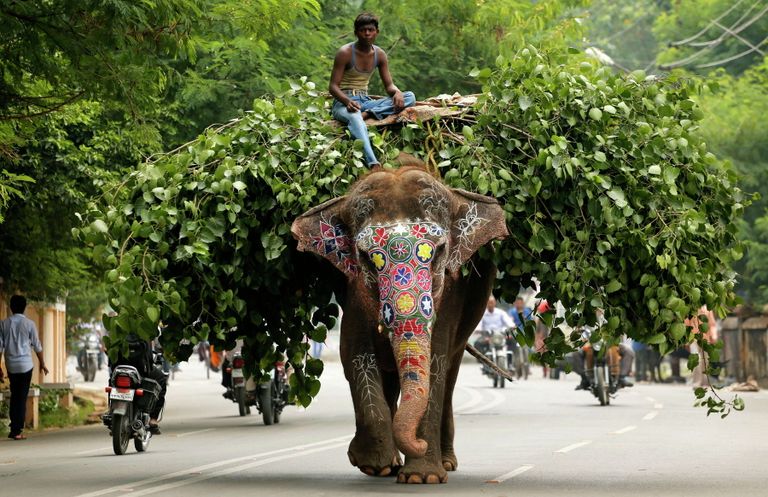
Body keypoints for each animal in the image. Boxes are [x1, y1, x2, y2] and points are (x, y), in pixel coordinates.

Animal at [291, 162, 508, 483]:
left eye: (439, 251)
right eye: (367, 257)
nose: (418, 443)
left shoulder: (451, 291)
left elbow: (436, 362)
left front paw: (422, 477)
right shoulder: (354, 291)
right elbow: (355, 354)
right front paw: (374, 464)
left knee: (451, 372)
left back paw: (445, 463)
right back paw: (389, 463)